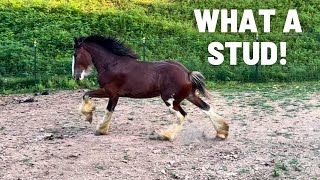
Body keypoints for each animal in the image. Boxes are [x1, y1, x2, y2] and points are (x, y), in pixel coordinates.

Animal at [72, 34, 229, 141]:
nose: (76, 76)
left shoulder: (111, 93)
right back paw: (222, 132)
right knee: (206, 108)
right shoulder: (112, 94)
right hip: (190, 96)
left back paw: (164, 135)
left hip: (170, 100)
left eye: (75, 54)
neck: (111, 64)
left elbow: (99, 104)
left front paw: (96, 125)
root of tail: (188, 73)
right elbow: (89, 97)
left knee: (181, 115)